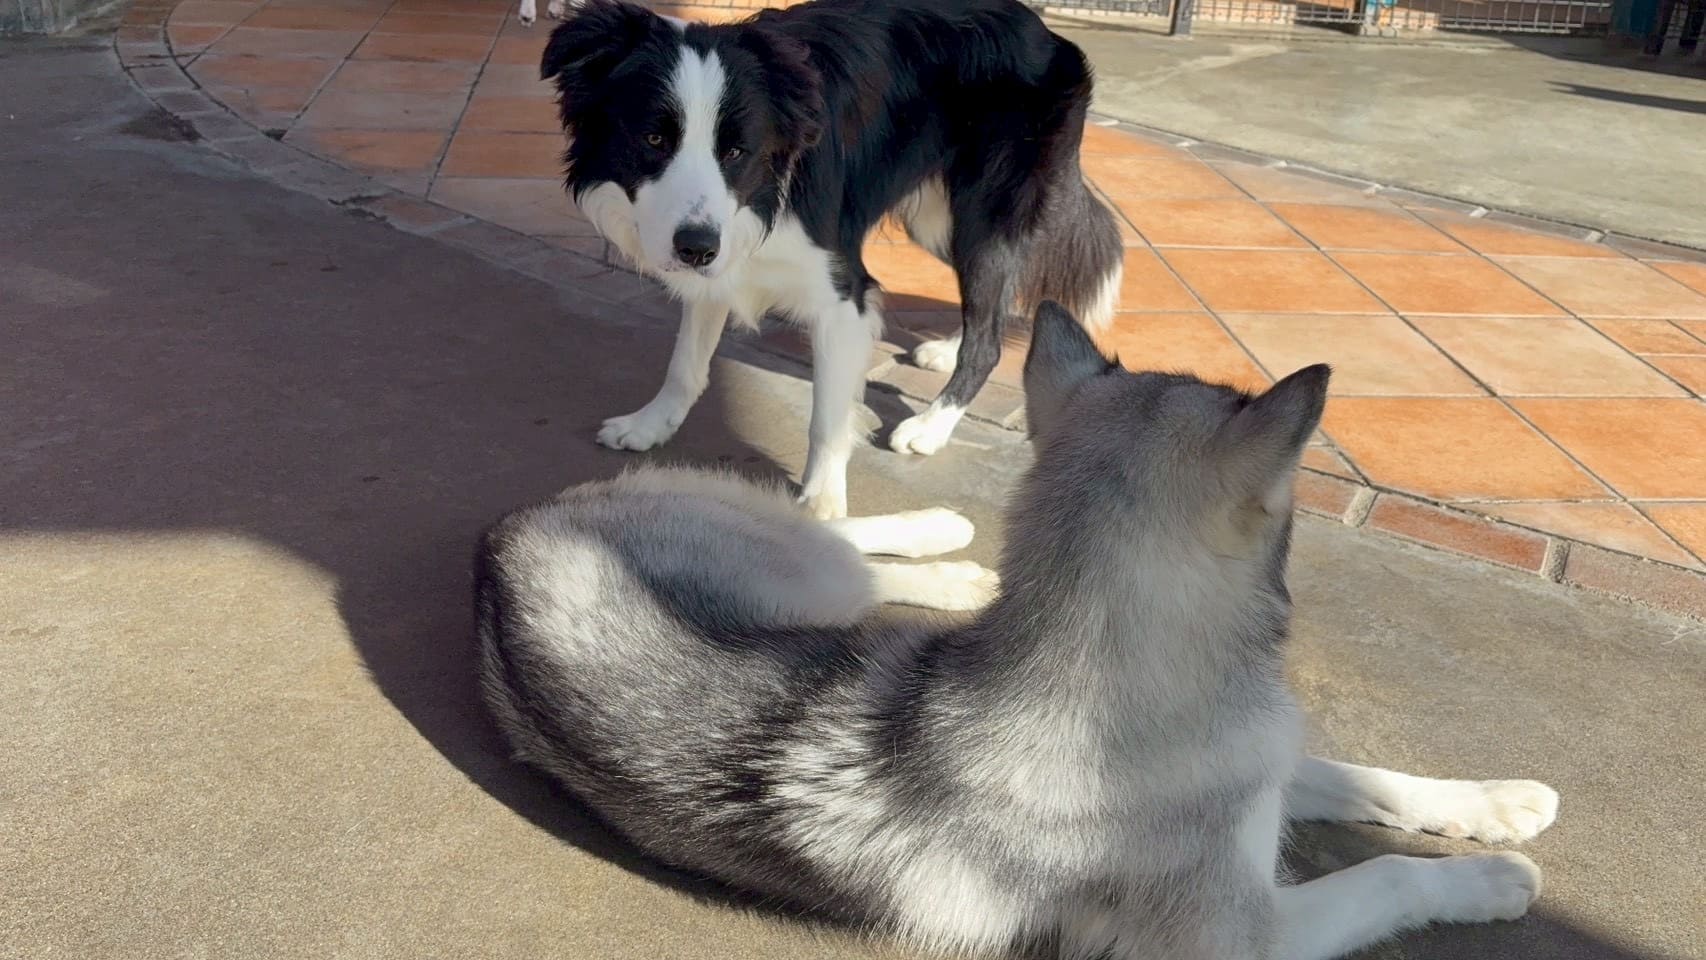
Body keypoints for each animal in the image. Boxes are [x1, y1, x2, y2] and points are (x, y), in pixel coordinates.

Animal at [475, 300, 1559, 960]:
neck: (1095, 670)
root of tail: (506, 533)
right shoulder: (1250, 933)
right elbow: (1384, 877)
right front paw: (1489, 879)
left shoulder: (1256, 772)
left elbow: (1365, 778)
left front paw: (1493, 805)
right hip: (805, 574)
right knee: (839, 543)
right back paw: (947, 557)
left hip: (807, 586)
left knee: (841, 540)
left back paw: (945, 548)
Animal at [539, 0, 1124, 520]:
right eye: (654, 138)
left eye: (736, 152)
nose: (696, 247)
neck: (767, 191)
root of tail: (1043, 29)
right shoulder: (719, 253)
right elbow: (686, 363)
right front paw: (651, 425)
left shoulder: (843, 293)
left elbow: (826, 415)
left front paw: (823, 502)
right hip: (939, 221)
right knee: (996, 307)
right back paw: (945, 351)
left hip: (984, 214)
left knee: (988, 337)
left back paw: (931, 426)